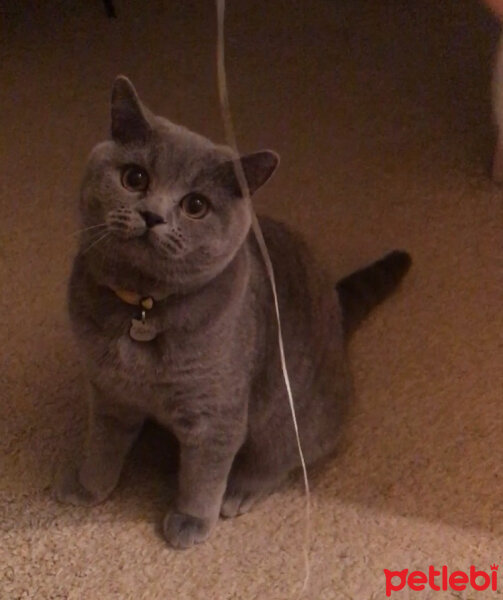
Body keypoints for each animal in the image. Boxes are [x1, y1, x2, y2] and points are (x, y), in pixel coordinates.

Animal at [53, 77, 412, 552]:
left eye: (196, 205)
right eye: (135, 177)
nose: (152, 215)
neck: (143, 307)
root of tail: (336, 309)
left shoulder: (215, 414)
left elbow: (203, 476)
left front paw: (190, 521)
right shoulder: (108, 393)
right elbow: (102, 446)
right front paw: (87, 487)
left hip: (287, 412)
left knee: (285, 457)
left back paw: (239, 491)